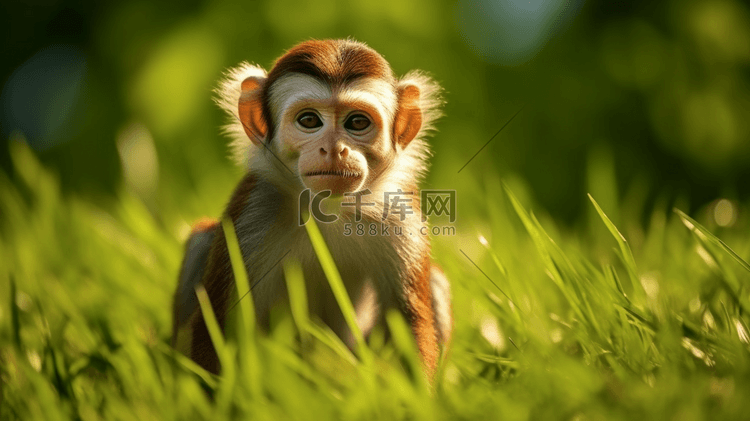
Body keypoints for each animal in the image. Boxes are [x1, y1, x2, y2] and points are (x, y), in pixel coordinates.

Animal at [172, 39, 452, 378]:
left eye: (357, 122)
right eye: (309, 120)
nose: (333, 149)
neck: (327, 210)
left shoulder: (399, 219)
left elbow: (408, 328)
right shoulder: (253, 214)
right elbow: (218, 325)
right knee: (201, 239)